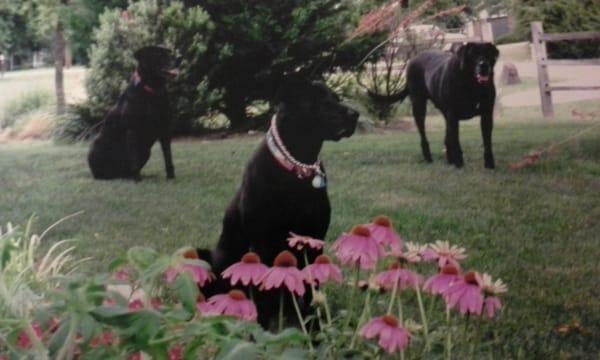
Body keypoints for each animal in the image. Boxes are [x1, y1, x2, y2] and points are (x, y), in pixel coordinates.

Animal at [88, 45, 178, 180]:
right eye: (159, 54)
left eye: (169, 53)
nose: (178, 58)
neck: (152, 90)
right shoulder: (132, 130)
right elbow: (133, 158)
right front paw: (137, 179)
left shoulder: (165, 129)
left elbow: (168, 156)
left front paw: (171, 177)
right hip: (96, 146)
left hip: (146, 151)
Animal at [199, 79, 358, 330]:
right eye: (317, 100)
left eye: (335, 97)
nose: (355, 115)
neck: (297, 167)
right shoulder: (262, 243)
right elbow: (262, 290)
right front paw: (260, 331)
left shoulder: (314, 240)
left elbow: (313, 289)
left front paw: (315, 327)